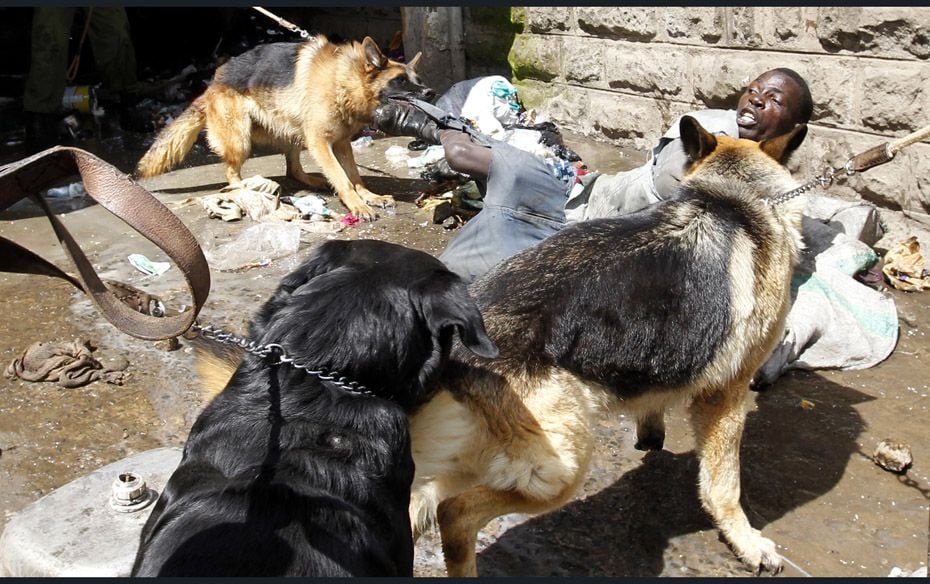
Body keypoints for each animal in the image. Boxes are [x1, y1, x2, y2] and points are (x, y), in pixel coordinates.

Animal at [136, 36, 434, 221]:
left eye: (418, 80)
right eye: (400, 80)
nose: (430, 92)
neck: (344, 80)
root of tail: (212, 84)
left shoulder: (341, 143)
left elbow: (354, 175)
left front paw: (369, 196)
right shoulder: (321, 142)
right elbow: (342, 178)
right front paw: (357, 204)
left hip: (292, 131)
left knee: (292, 168)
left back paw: (312, 180)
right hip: (241, 138)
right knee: (231, 171)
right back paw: (244, 188)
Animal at [406, 115, 804, 576]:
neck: (734, 196)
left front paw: (651, 430)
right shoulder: (727, 395)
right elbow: (724, 484)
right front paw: (746, 541)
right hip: (561, 467)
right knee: (454, 513)